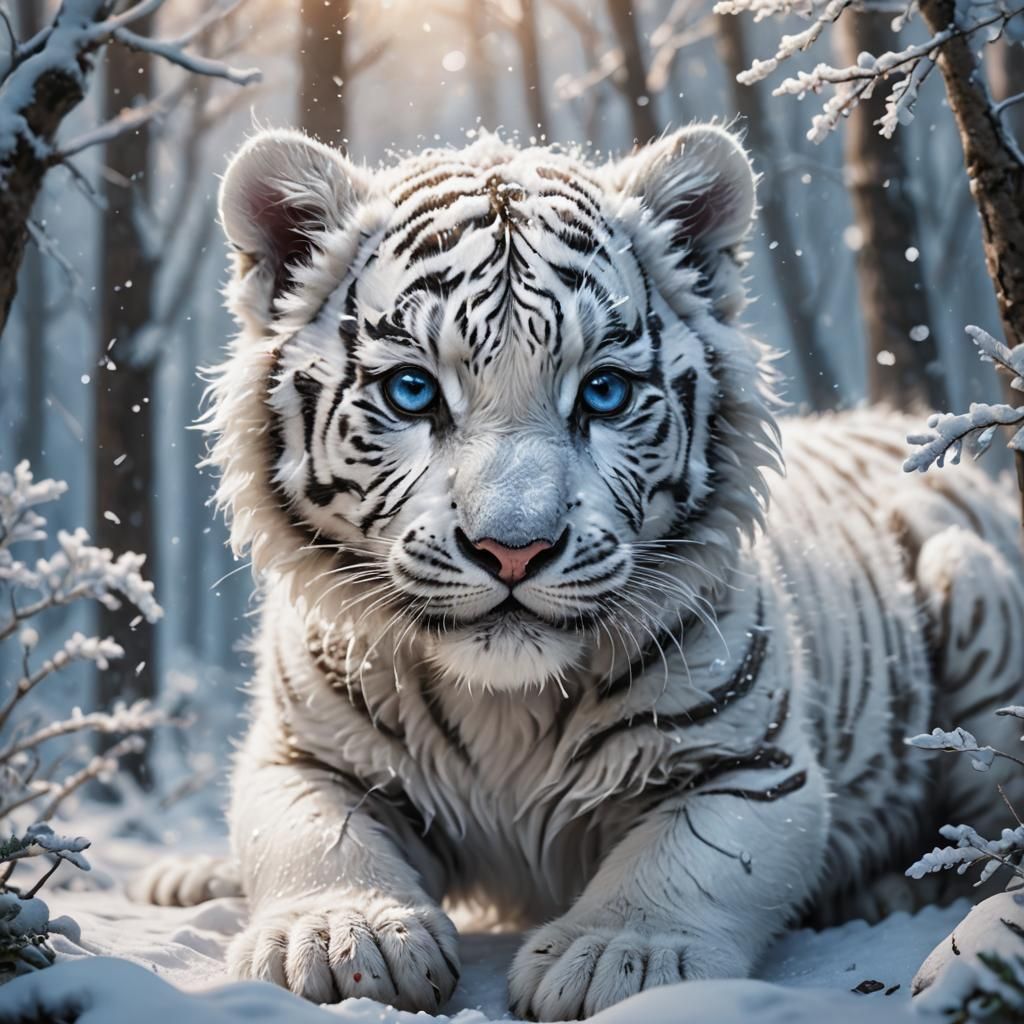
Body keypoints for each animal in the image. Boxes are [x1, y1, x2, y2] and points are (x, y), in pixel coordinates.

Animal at [134, 124, 1024, 1019]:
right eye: (413, 391)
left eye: (603, 393)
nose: (514, 548)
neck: (504, 707)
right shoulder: (303, 755)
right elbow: (315, 836)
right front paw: (343, 935)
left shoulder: (752, 768)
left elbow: (687, 859)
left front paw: (621, 953)